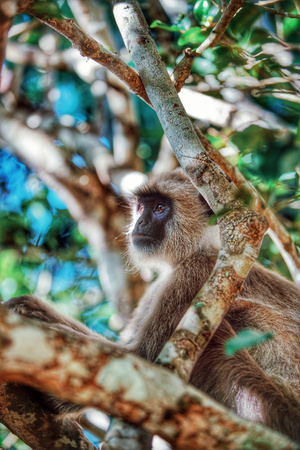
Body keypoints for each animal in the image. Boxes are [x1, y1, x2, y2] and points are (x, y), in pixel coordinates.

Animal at [4, 167, 300, 442]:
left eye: (160, 208)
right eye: (142, 207)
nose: (140, 222)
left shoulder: (195, 275)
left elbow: (141, 360)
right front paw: (31, 311)